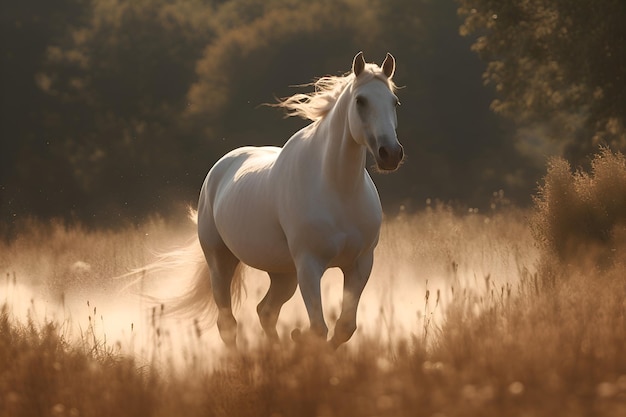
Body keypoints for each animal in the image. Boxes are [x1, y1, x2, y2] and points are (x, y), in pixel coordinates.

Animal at [163, 52, 402, 348]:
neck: (338, 190)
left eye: (394, 101)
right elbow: (319, 328)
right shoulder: (309, 266)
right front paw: (302, 339)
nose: (390, 154)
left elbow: (344, 327)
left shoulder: (360, 265)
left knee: (265, 312)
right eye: (361, 101)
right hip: (220, 262)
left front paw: (301, 340)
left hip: (283, 274)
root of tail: (218, 171)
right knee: (228, 323)